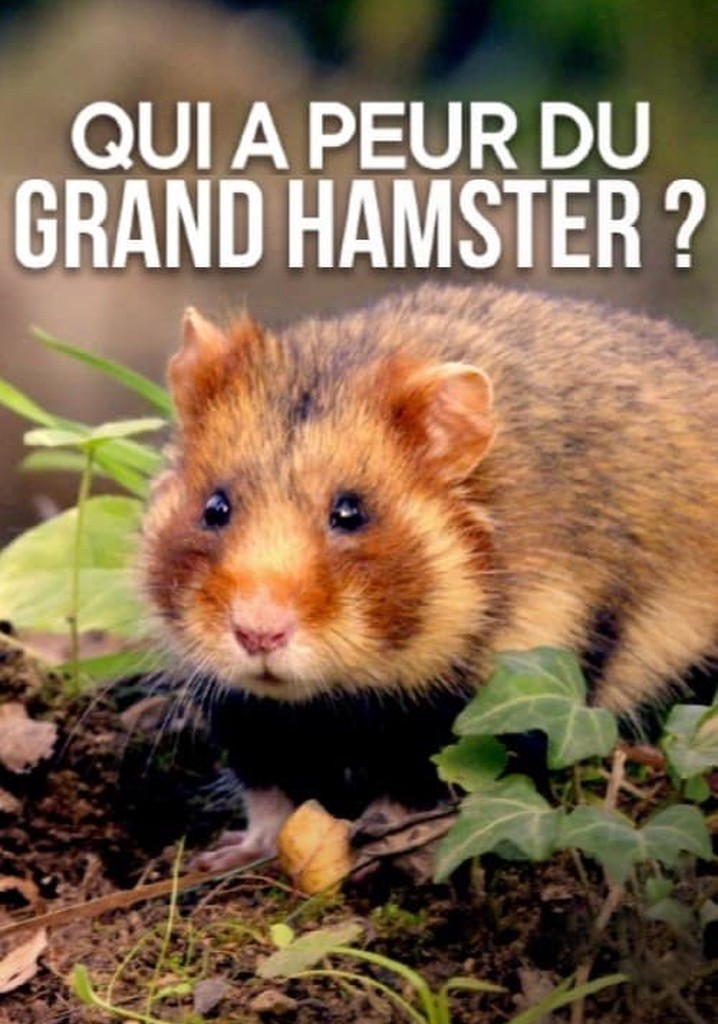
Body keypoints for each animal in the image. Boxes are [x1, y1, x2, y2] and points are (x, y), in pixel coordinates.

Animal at [140, 284, 718, 869]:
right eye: (215, 507)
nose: (259, 635)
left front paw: (384, 838)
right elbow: (270, 792)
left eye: (350, 512)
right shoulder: (249, 712)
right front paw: (224, 856)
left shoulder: (495, 691)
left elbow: (416, 779)